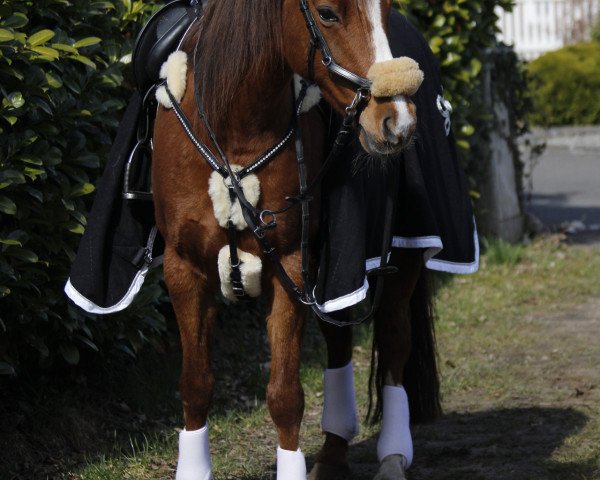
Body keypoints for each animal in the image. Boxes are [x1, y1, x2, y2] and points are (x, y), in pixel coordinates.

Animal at [152, 0, 438, 480]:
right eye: (326, 14)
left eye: (385, 9)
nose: (397, 121)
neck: (234, 130)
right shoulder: (183, 268)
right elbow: (195, 385)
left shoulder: (287, 266)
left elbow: (285, 395)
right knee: (340, 343)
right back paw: (334, 452)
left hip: (400, 260)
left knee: (396, 341)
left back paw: (393, 455)